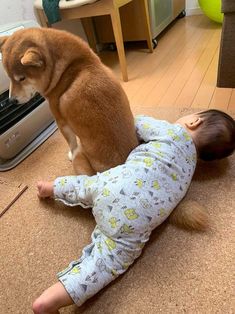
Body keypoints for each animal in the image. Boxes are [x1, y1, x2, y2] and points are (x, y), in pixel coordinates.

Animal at [0, 28, 139, 175]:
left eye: (22, 78)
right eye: (9, 77)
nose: (11, 101)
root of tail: (116, 168)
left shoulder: (61, 122)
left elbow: (71, 143)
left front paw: (70, 154)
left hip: (80, 156)